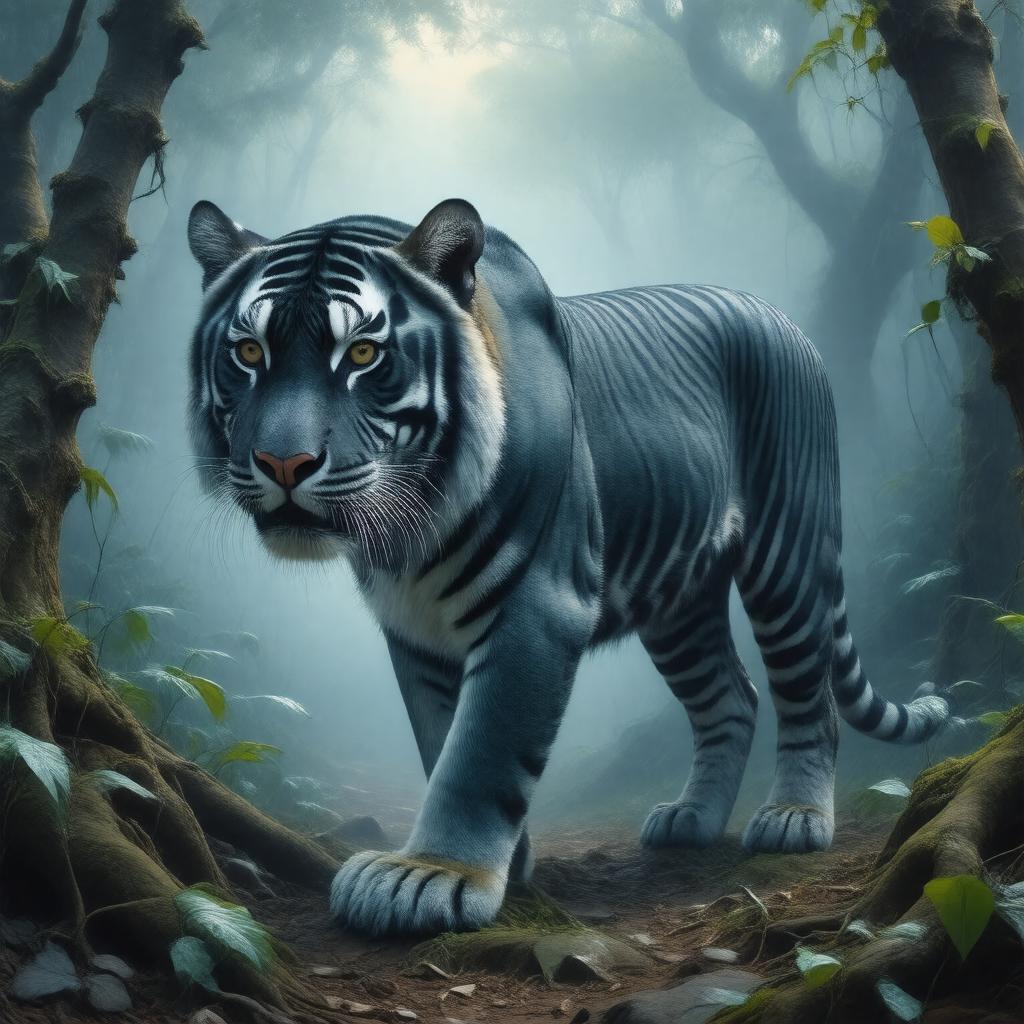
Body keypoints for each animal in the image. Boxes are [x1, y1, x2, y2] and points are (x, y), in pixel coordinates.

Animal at [186, 197, 949, 936]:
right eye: (248, 351)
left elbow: (482, 748)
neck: (411, 529)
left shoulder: (537, 607)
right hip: (680, 604)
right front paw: (505, 863)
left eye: (364, 353)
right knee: (732, 696)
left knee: (808, 694)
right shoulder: (413, 632)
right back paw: (690, 820)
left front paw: (433, 875)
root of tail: (781, 316)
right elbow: (440, 738)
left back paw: (795, 819)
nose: (284, 463)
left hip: (786, 554)